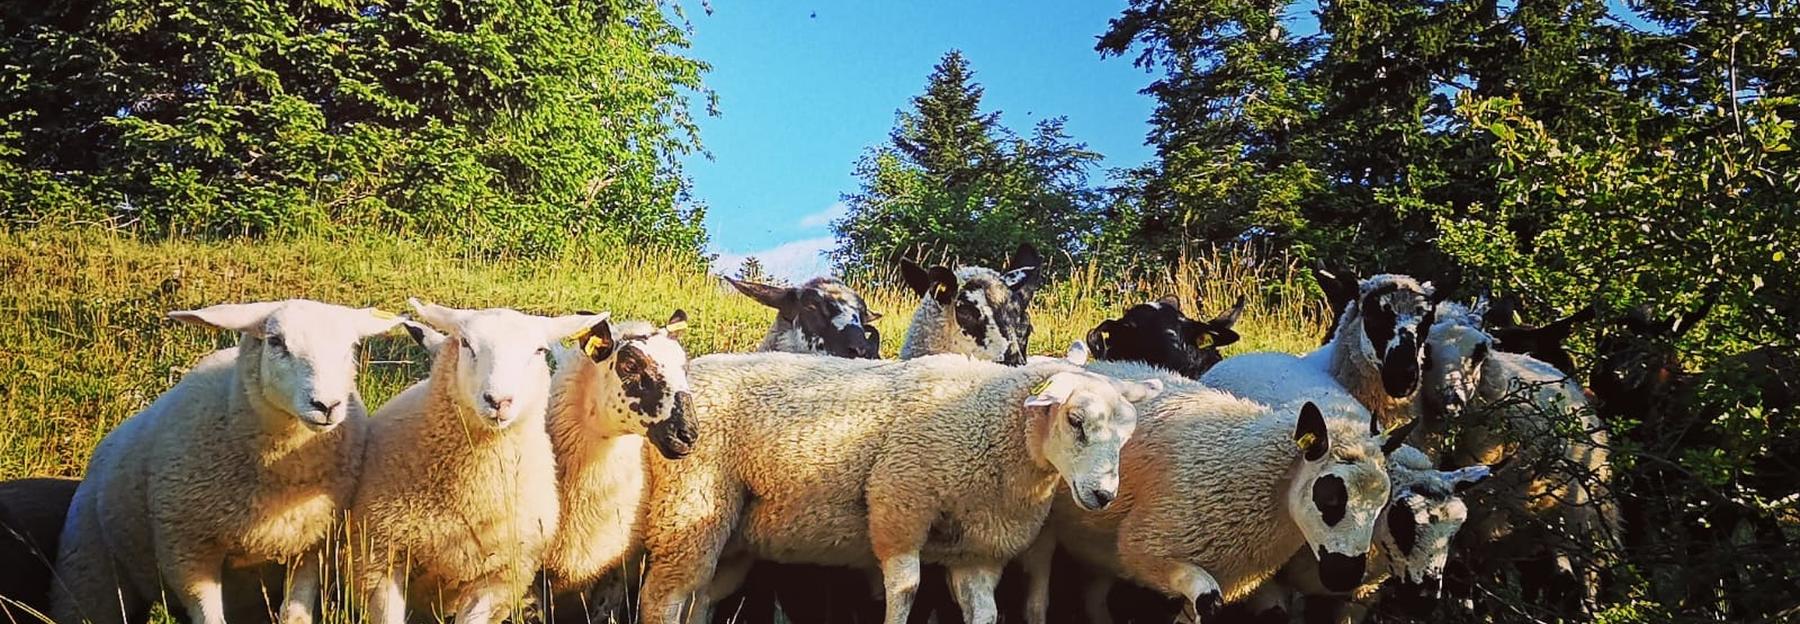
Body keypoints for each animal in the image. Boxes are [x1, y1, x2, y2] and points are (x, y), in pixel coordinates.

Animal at [633, 352, 1159, 624]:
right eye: (1076, 420)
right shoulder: (899, 508)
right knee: (663, 598)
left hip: (732, 536)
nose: (1103, 496)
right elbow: (905, 593)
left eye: (1127, 433)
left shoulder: (978, 549)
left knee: (699, 597)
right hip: (690, 503)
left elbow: (985, 613)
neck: (990, 422)